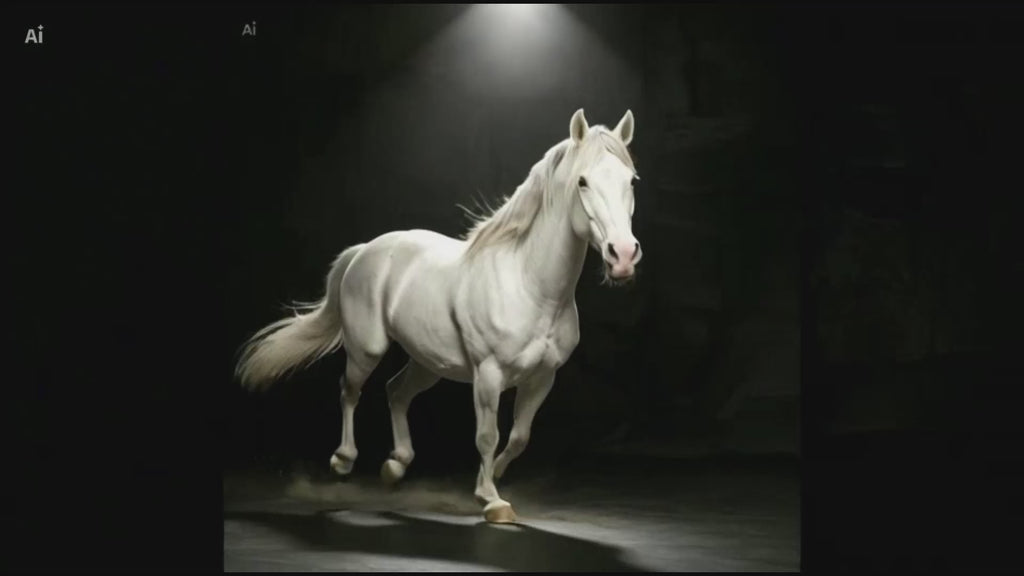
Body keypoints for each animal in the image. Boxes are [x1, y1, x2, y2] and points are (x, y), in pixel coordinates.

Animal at [235, 108, 643, 523]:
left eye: (631, 180)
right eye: (582, 181)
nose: (623, 256)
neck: (529, 286)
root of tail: (364, 250)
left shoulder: (542, 378)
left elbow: (518, 437)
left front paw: (495, 475)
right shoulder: (488, 375)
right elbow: (488, 435)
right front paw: (490, 500)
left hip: (429, 364)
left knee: (396, 392)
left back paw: (395, 466)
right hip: (367, 348)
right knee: (350, 390)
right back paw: (343, 461)